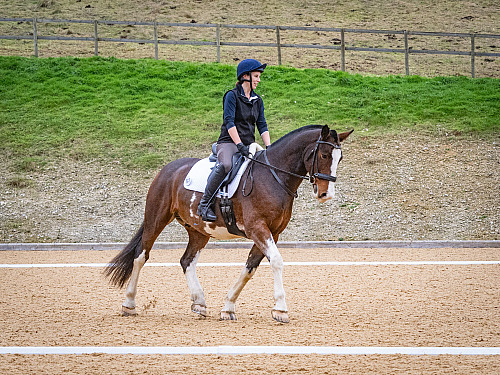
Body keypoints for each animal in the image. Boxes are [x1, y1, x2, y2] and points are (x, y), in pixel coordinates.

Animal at [104, 125, 356, 324]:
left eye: (340, 158)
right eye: (324, 154)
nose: (326, 194)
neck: (273, 176)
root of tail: (168, 168)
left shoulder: (272, 232)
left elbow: (250, 268)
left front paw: (228, 307)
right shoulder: (258, 229)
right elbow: (276, 261)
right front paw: (280, 309)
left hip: (199, 230)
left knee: (187, 260)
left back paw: (199, 303)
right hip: (156, 218)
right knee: (141, 255)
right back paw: (129, 304)